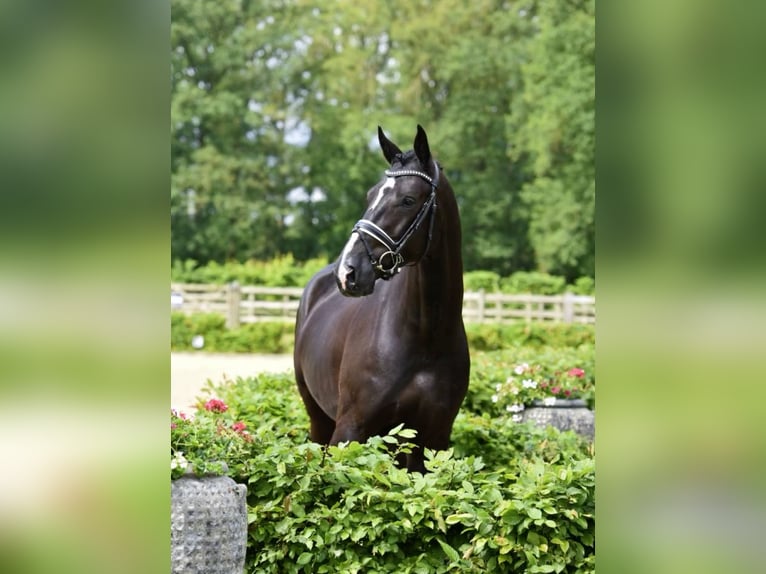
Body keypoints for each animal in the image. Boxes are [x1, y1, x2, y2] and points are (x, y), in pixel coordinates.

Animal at [296, 126, 472, 472]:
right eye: (370, 195)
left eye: (408, 200)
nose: (347, 271)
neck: (424, 334)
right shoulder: (350, 429)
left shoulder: (433, 438)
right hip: (319, 419)